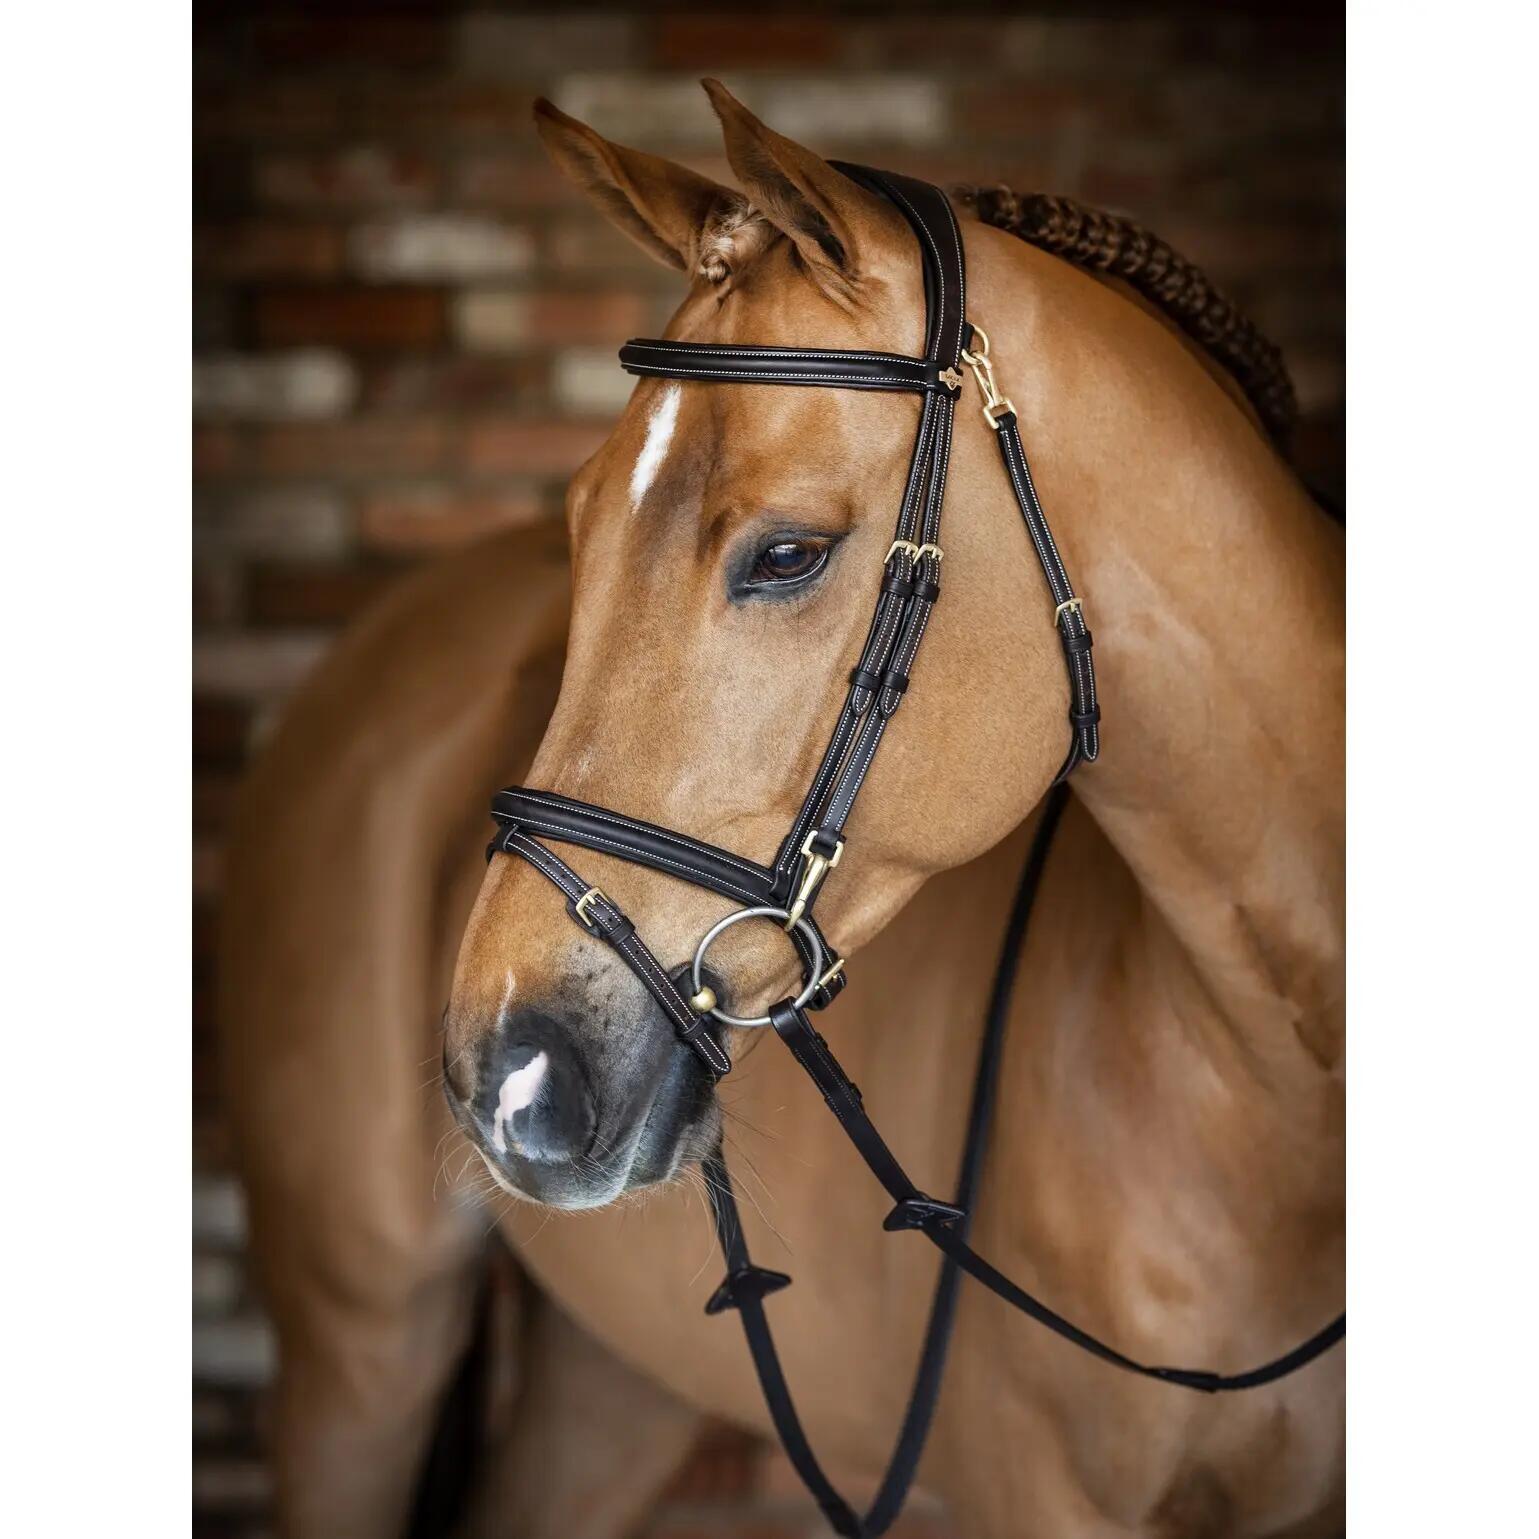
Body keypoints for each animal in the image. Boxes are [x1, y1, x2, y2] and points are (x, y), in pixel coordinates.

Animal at [220, 82, 1343, 1538]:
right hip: (359, 1346)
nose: (507, 1070)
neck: (1285, 1086)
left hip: (617, 1374)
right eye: (579, 523)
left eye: (789, 553)